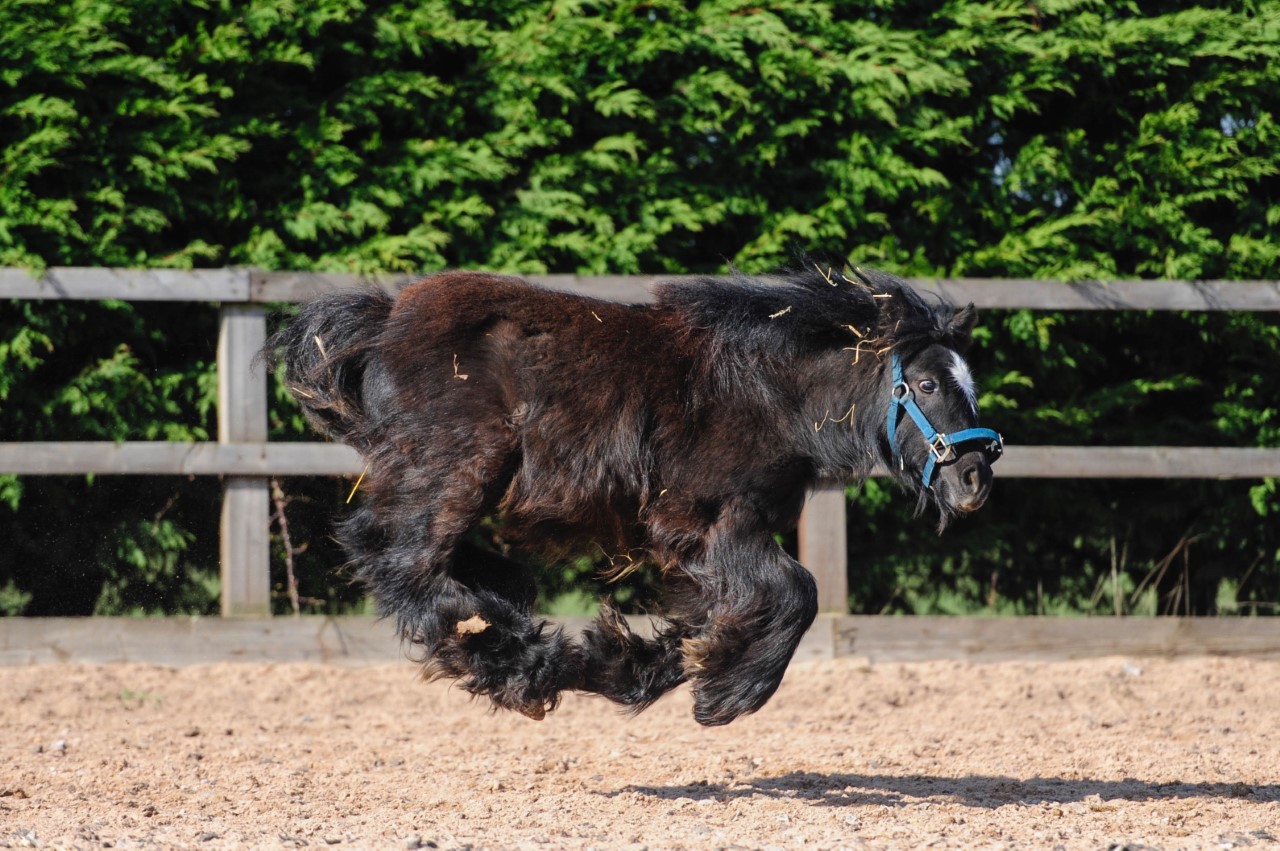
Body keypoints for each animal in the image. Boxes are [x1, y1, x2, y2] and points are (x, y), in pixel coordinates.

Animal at [270, 262, 1003, 721]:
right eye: (928, 383)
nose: (975, 478)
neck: (767, 393)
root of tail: (386, 318)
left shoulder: (703, 548)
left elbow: (706, 623)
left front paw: (628, 666)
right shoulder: (704, 523)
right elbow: (799, 593)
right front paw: (726, 698)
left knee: (456, 569)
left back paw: (521, 655)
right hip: (456, 470)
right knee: (397, 557)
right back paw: (507, 650)